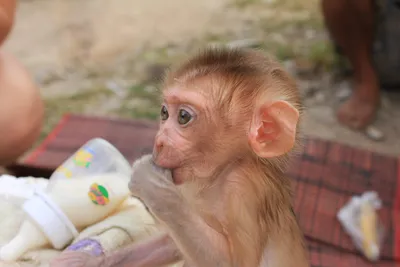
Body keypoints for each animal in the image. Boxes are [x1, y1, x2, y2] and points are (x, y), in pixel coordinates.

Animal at [49, 47, 310, 267]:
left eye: (183, 116)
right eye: (164, 113)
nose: (159, 141)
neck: (218, 176)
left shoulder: (244, 187)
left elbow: (233, 263)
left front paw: (152, 185)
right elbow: (173, 243)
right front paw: (88, 261)